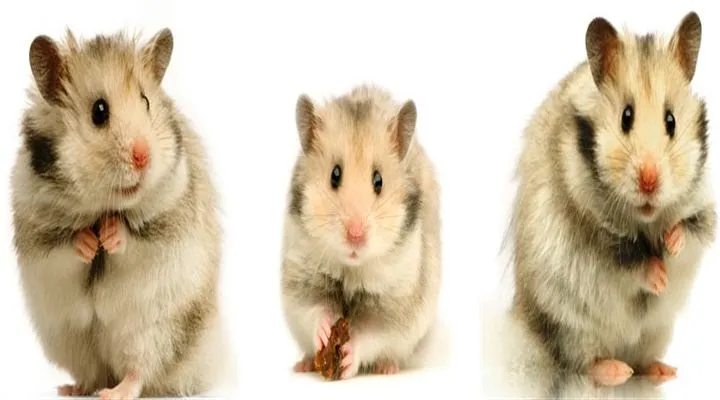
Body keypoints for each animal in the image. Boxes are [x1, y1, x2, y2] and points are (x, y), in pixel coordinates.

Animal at [11, 28, 229, 398]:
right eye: (99, 111)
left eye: (146, 102)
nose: (143, 157)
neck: (103, 206)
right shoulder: (39, 235)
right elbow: (65, 246)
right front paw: (88, 242)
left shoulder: (167, 226)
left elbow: (134, 240)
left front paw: (112, 235)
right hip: (71, 340)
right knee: (93, 372)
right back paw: (73, 388)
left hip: (154, 332)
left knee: (138, 371)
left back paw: (115, 392)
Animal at [280, 84, 442, 379]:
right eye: (334, 174)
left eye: (378, 180)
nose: (355, 236)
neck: (352, 267)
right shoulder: (304, 279)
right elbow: (314, 310)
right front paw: (325, 336)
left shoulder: (392, 303)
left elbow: (369, 335)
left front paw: (346, 360)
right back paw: (304, 364)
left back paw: (387, 368)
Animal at [508, 12, 716, 387]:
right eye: (626, 117)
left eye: (671, 120)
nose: (649, 181)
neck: (645, 218)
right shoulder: (594, 236)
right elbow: (631, 261)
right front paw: (660, 277)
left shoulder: (706, 209)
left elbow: (689, 230)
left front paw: (672, 244)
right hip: (569, 327)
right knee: (579, 362)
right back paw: (615, 371)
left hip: (658, 332)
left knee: (642, 358)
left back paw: (661, 371)